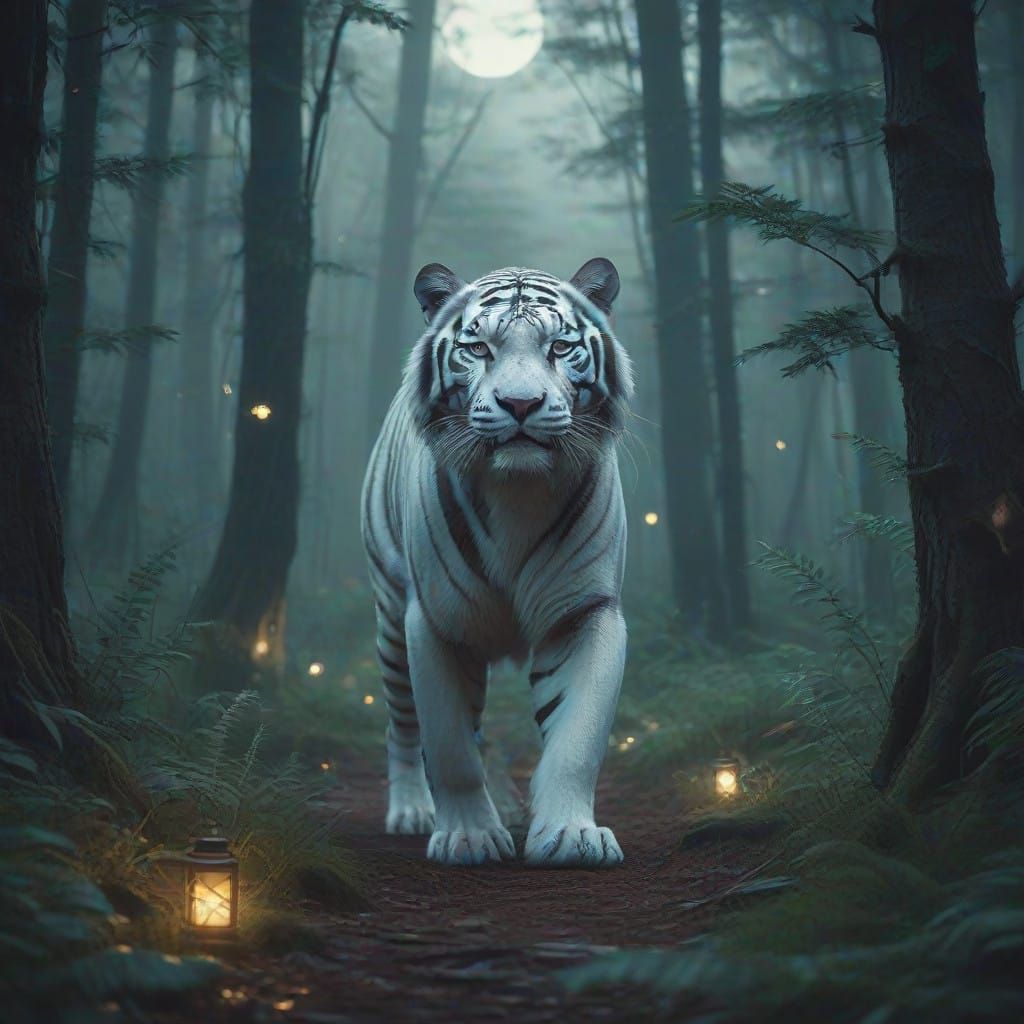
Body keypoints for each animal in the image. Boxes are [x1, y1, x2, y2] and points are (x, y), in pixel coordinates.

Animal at [361, 258, 633, 868]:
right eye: (479, 348)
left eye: (560, 346)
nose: (521, 404)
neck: (518, 491)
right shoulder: (434, 620)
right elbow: (450, 745)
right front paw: (467, 838)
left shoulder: (584, 612)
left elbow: (576, 738)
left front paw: (572, 836)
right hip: (390, 617)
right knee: (400, 725)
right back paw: (411, 811)